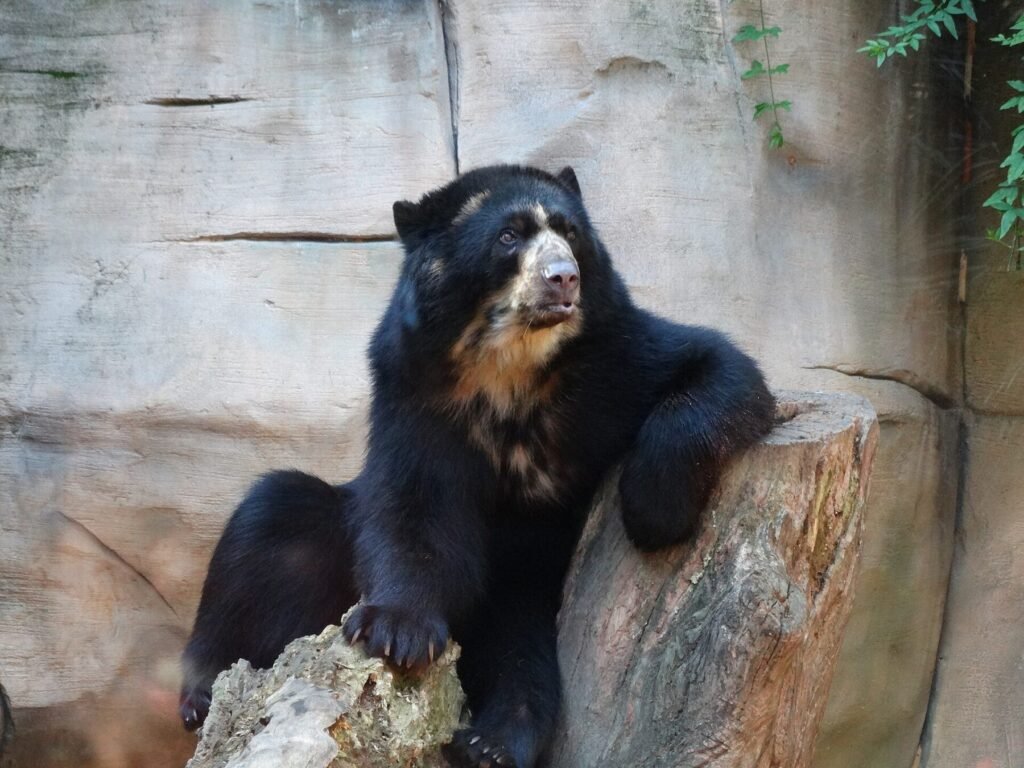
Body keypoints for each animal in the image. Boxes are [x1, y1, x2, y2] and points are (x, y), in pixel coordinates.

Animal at [179, 164, 775, 768]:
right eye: (509, 237)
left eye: (570, 232)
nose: (564, 277)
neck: (510, 364)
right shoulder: (415, 394)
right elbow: (412, 508)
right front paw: (394, 631)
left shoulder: (616, 361)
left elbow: (717, 369)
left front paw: (654, 511)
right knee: (270, 520)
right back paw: (201, 696)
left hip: (524, 587)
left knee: (521, 657)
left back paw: (489, 744)